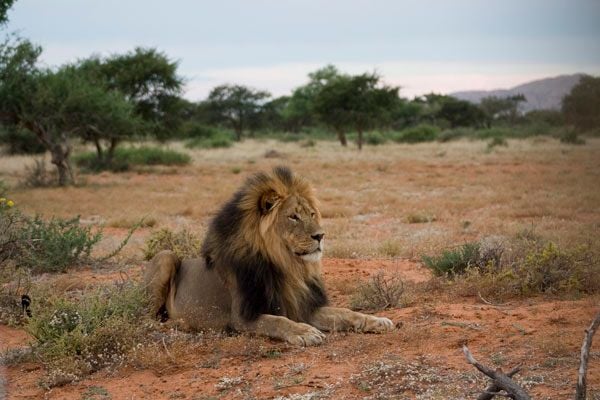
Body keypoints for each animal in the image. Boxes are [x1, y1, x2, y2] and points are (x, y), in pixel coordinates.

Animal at [144, 167, 396, 346]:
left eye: (312, 214)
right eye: (293, 216)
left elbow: (346, 313)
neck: (287, 266)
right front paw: (305, 332)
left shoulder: (302, 307)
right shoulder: (242, 316)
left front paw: (377, 320)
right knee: (146, 318)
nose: (320, 235)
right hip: (166, 256)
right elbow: (278, 321)